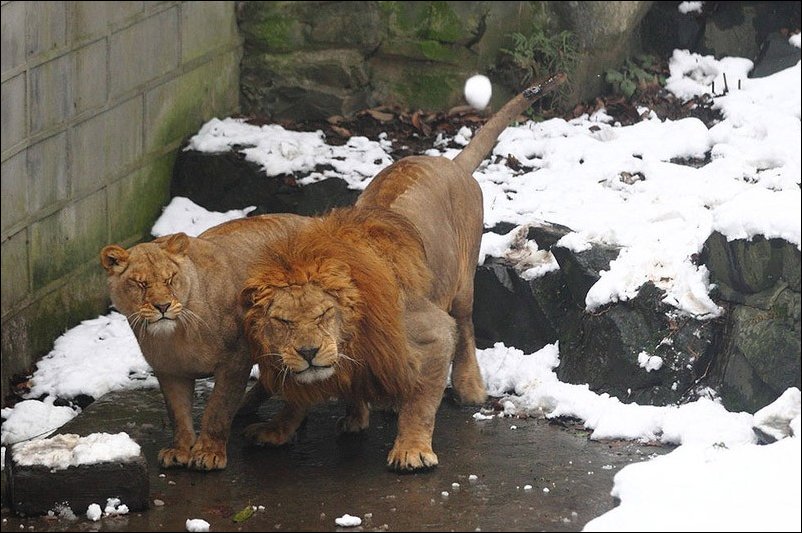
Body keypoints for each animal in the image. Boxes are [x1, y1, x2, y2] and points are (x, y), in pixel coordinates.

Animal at [100, 213, 306, 470]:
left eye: (170, 279)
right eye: (141, 284)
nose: (163, 306)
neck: (176, 334)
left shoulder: (235, 359)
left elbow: (217, 409)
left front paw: (209, 452)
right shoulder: (169, 370)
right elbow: (178, 413)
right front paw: (179, 450)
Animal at [238, 75, 564, 470]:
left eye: (324, 313)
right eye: (282, 321)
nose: (308, 351)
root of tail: (452, 164)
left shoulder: (435, 332)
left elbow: (421, 403)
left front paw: (411, 450)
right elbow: (298, 395)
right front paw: (278, 428)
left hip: (462, 283)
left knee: (466, 326)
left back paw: (469, 388)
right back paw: (357, 414)